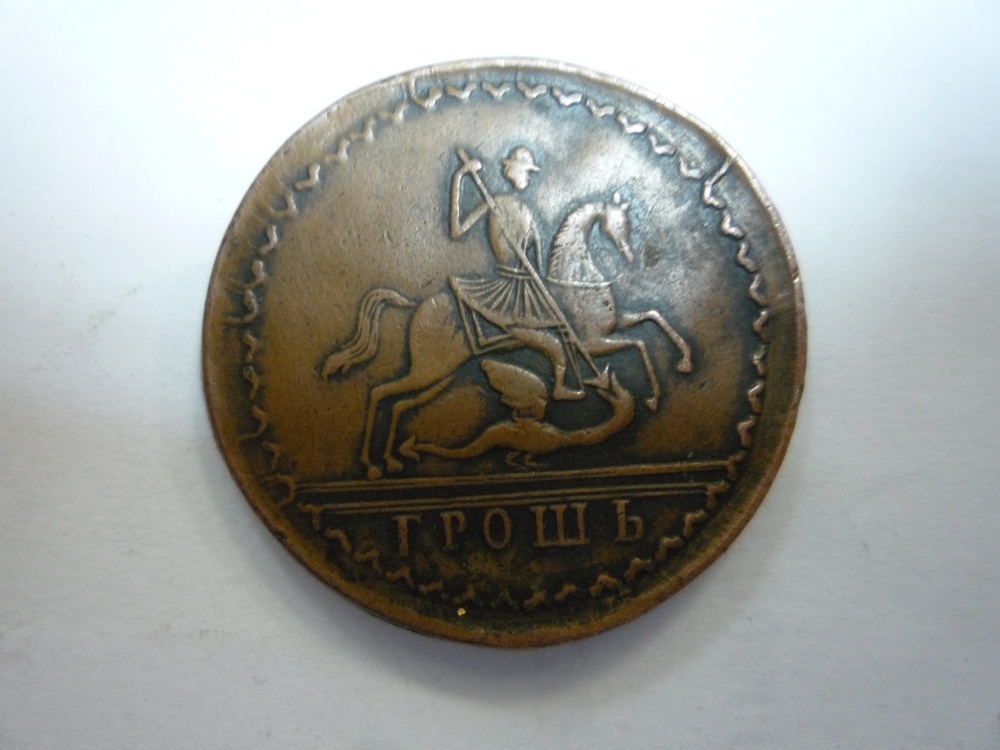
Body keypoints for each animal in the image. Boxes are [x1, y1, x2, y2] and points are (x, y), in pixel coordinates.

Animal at [320, 194, 691, 480]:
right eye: (619, 223)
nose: (629, 253)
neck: (576, 282)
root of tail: (419, 307)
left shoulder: (612, 327)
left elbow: (653, 319)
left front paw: (682, 364)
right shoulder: (592, 344)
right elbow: (639, 344)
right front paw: (651, 396)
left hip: (441, 373)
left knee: (398, 402)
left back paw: (394, 459)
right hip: (433, 368)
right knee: (379, 392)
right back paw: (372, 465)